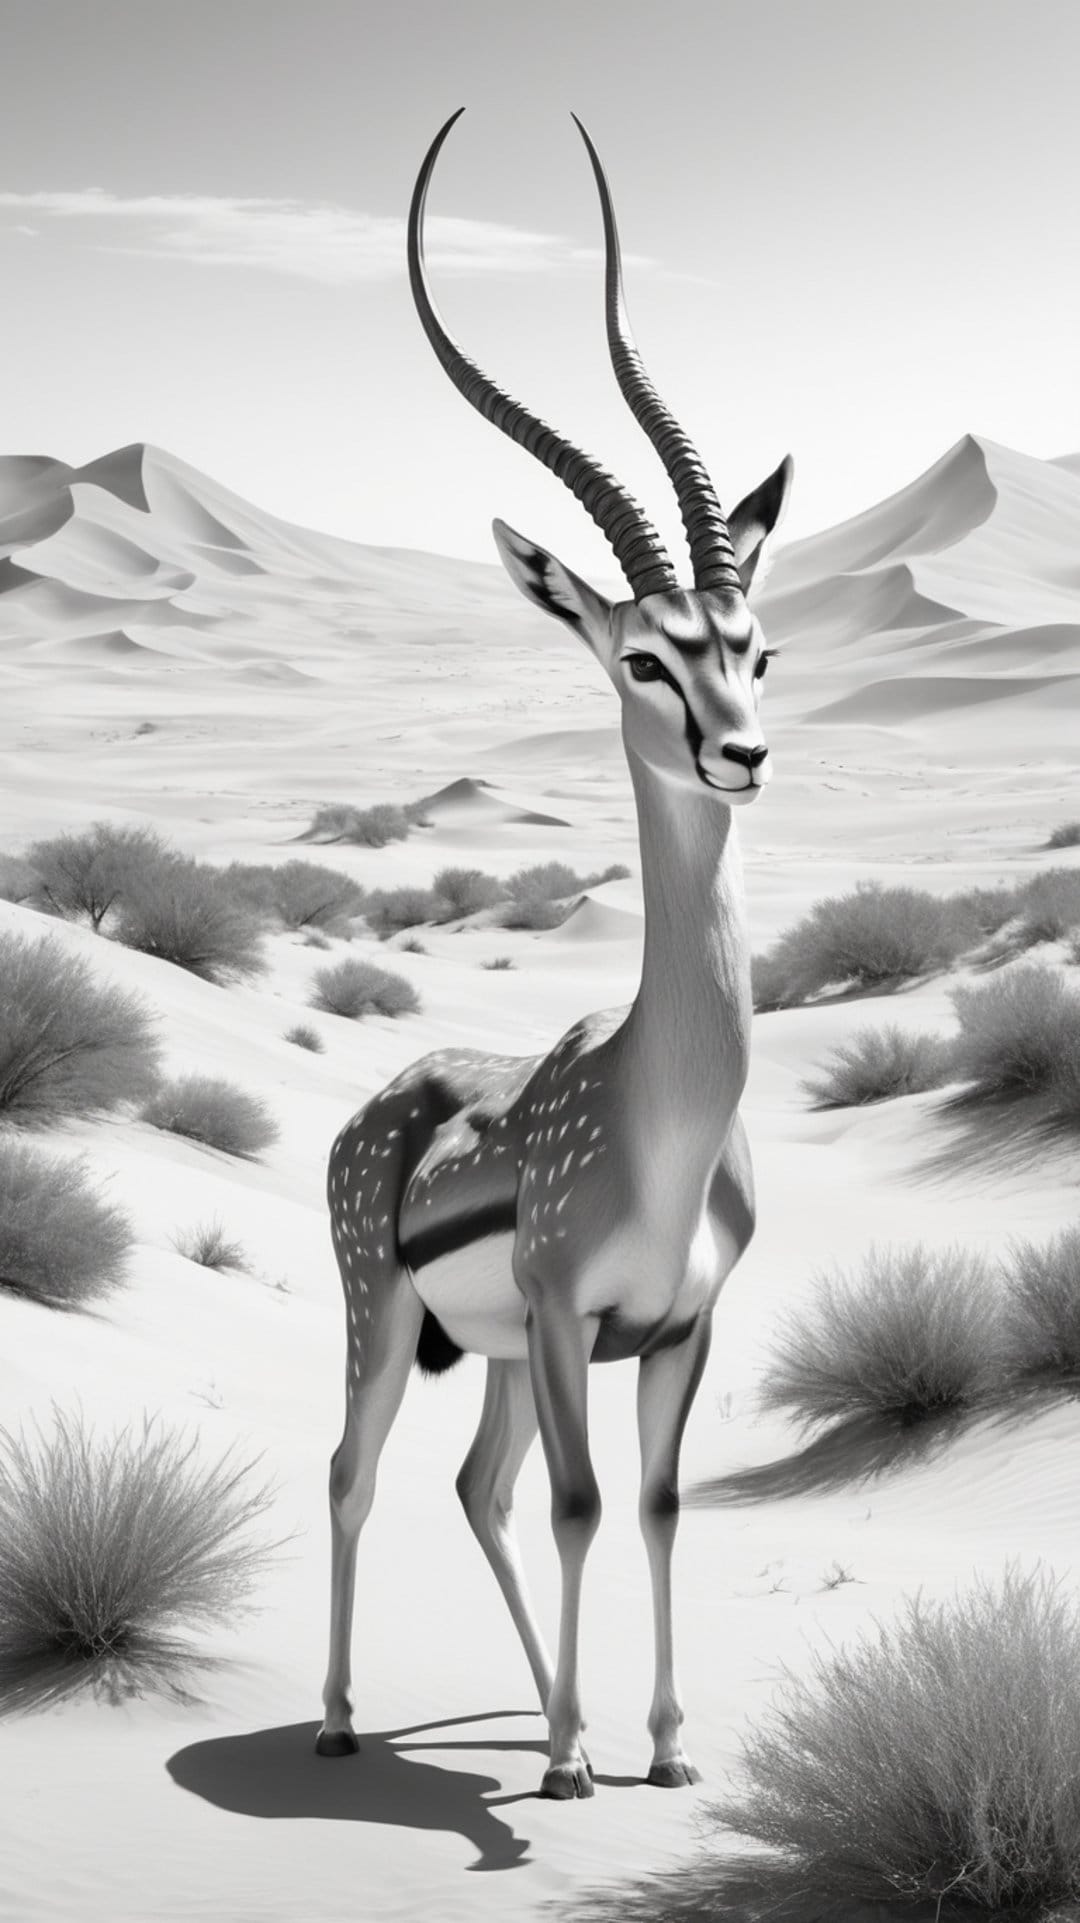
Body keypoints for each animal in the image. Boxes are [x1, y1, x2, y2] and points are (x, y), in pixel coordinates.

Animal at [316, 108, 792, 1799]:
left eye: (755, 643)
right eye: (643, 654)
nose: (743, 751)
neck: (662, 1115)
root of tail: (382, 1096)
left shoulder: (671, 1329)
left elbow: (653, 1506)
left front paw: (657, 1746)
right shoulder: (574, 1317)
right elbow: (593, 1507)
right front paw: (584, 1765)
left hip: (504, 1357)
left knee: (480, 1486)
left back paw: (539, 1710)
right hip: (390, 1325)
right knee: (356, 1469)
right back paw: (344, 1720)